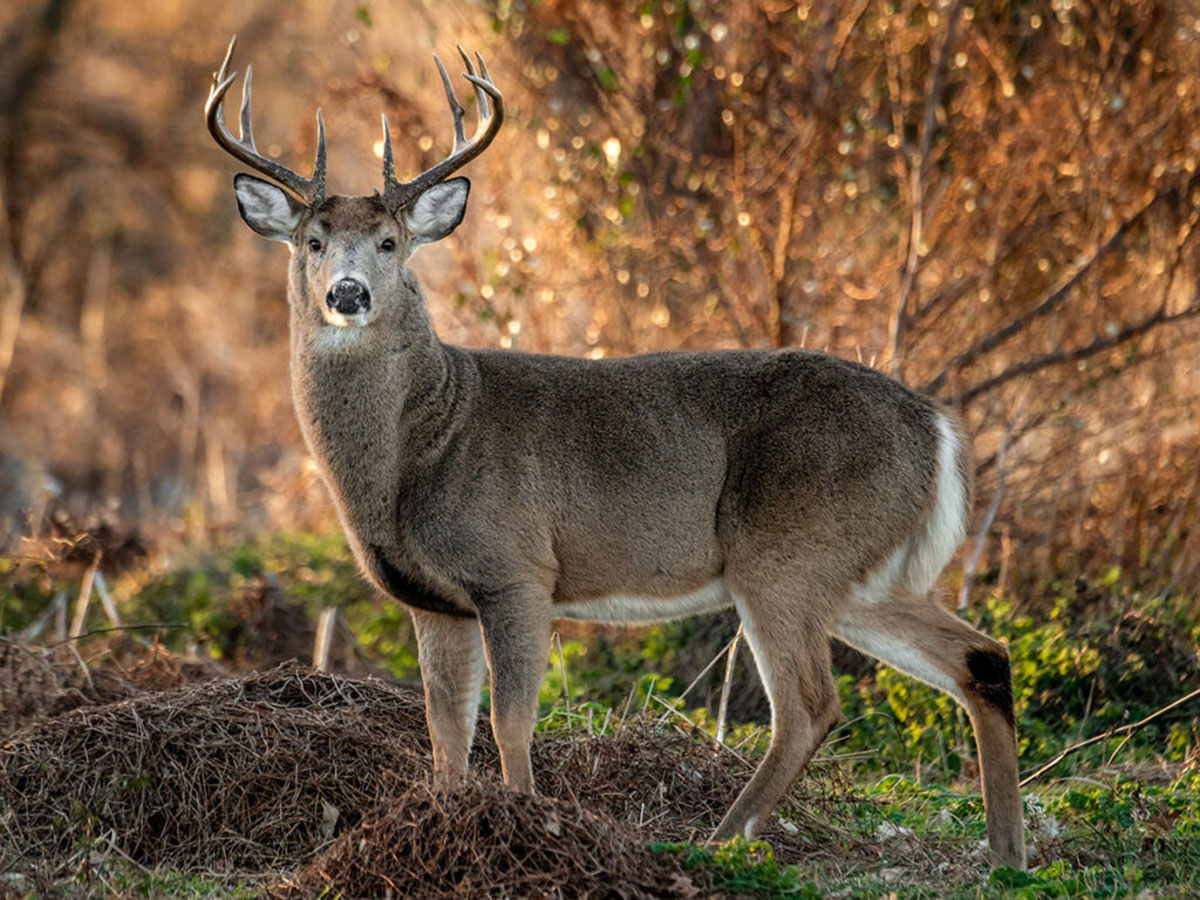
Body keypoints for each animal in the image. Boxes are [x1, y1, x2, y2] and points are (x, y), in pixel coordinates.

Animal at [204, 38, 1022, 868]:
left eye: (390, 243)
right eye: (311, 242)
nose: (347, 294)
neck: (421, 447)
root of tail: (936, 426)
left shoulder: (517, 569)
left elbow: (509, 722)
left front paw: (523, 826)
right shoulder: (433, 600)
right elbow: (444, 731)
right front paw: (439, 824)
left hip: (787, 551)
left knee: (810, 705)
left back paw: (714, 843)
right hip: (860, 571)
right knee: (981, 659)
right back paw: (1008, 855)